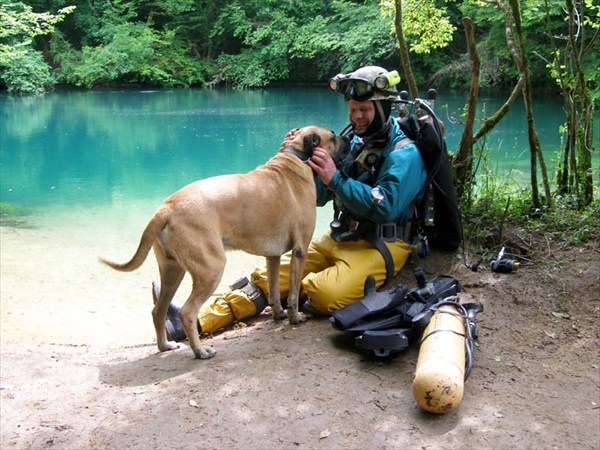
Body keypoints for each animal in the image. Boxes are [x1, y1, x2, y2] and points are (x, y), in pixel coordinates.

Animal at [101, 125, 350, 358]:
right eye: (333, 136)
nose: (349, 139)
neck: (296, 157)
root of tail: (165, 209)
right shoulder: (300, 251)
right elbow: (294, 292)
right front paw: (295, 317)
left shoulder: (273, 256)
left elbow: (274, 289)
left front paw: (279, 314)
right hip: (210, 268)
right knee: (187, 312)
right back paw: (200, 351)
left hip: (173, 271)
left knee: (158, 310)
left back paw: (165, 345)